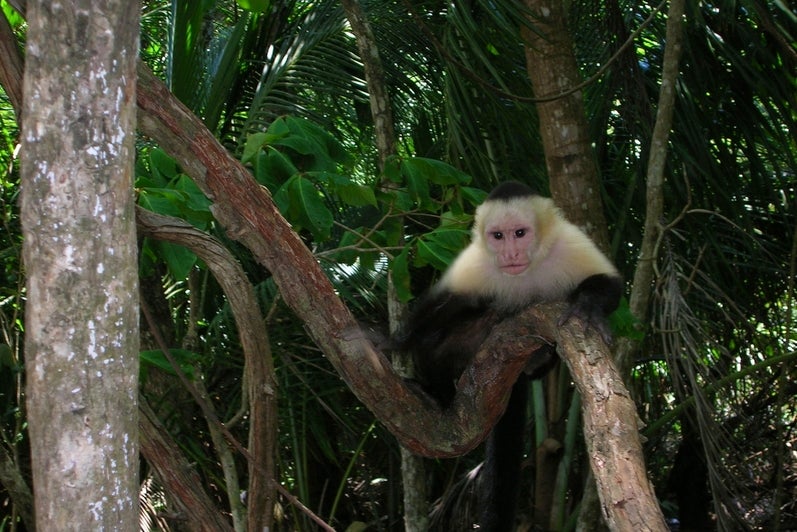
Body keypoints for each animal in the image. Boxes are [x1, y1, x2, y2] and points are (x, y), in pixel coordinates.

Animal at [398, 181, 620, 528]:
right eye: (498, 236)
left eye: (520, 233)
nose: (510, 253)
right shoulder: (475, 262)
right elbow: (439, 306)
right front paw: (390, 342)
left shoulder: (569, 242)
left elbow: (609, 282)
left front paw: (588, 305)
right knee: (439, 338)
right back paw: (437, 393)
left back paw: (537, 358)